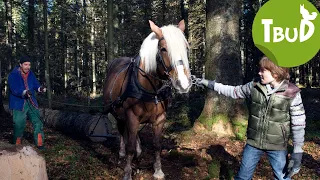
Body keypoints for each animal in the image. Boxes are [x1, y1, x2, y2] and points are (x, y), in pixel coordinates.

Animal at [104, 19, 191, 179]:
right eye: (163, 49)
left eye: (186, 48)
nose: (183, 83)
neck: (151, 90)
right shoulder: (131, 116)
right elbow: (130, 146)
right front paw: (127, 172)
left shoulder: (160, 119)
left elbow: (157, 145)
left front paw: (158, 170)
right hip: (117, 112)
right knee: (121, 131)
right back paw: (122, 153)